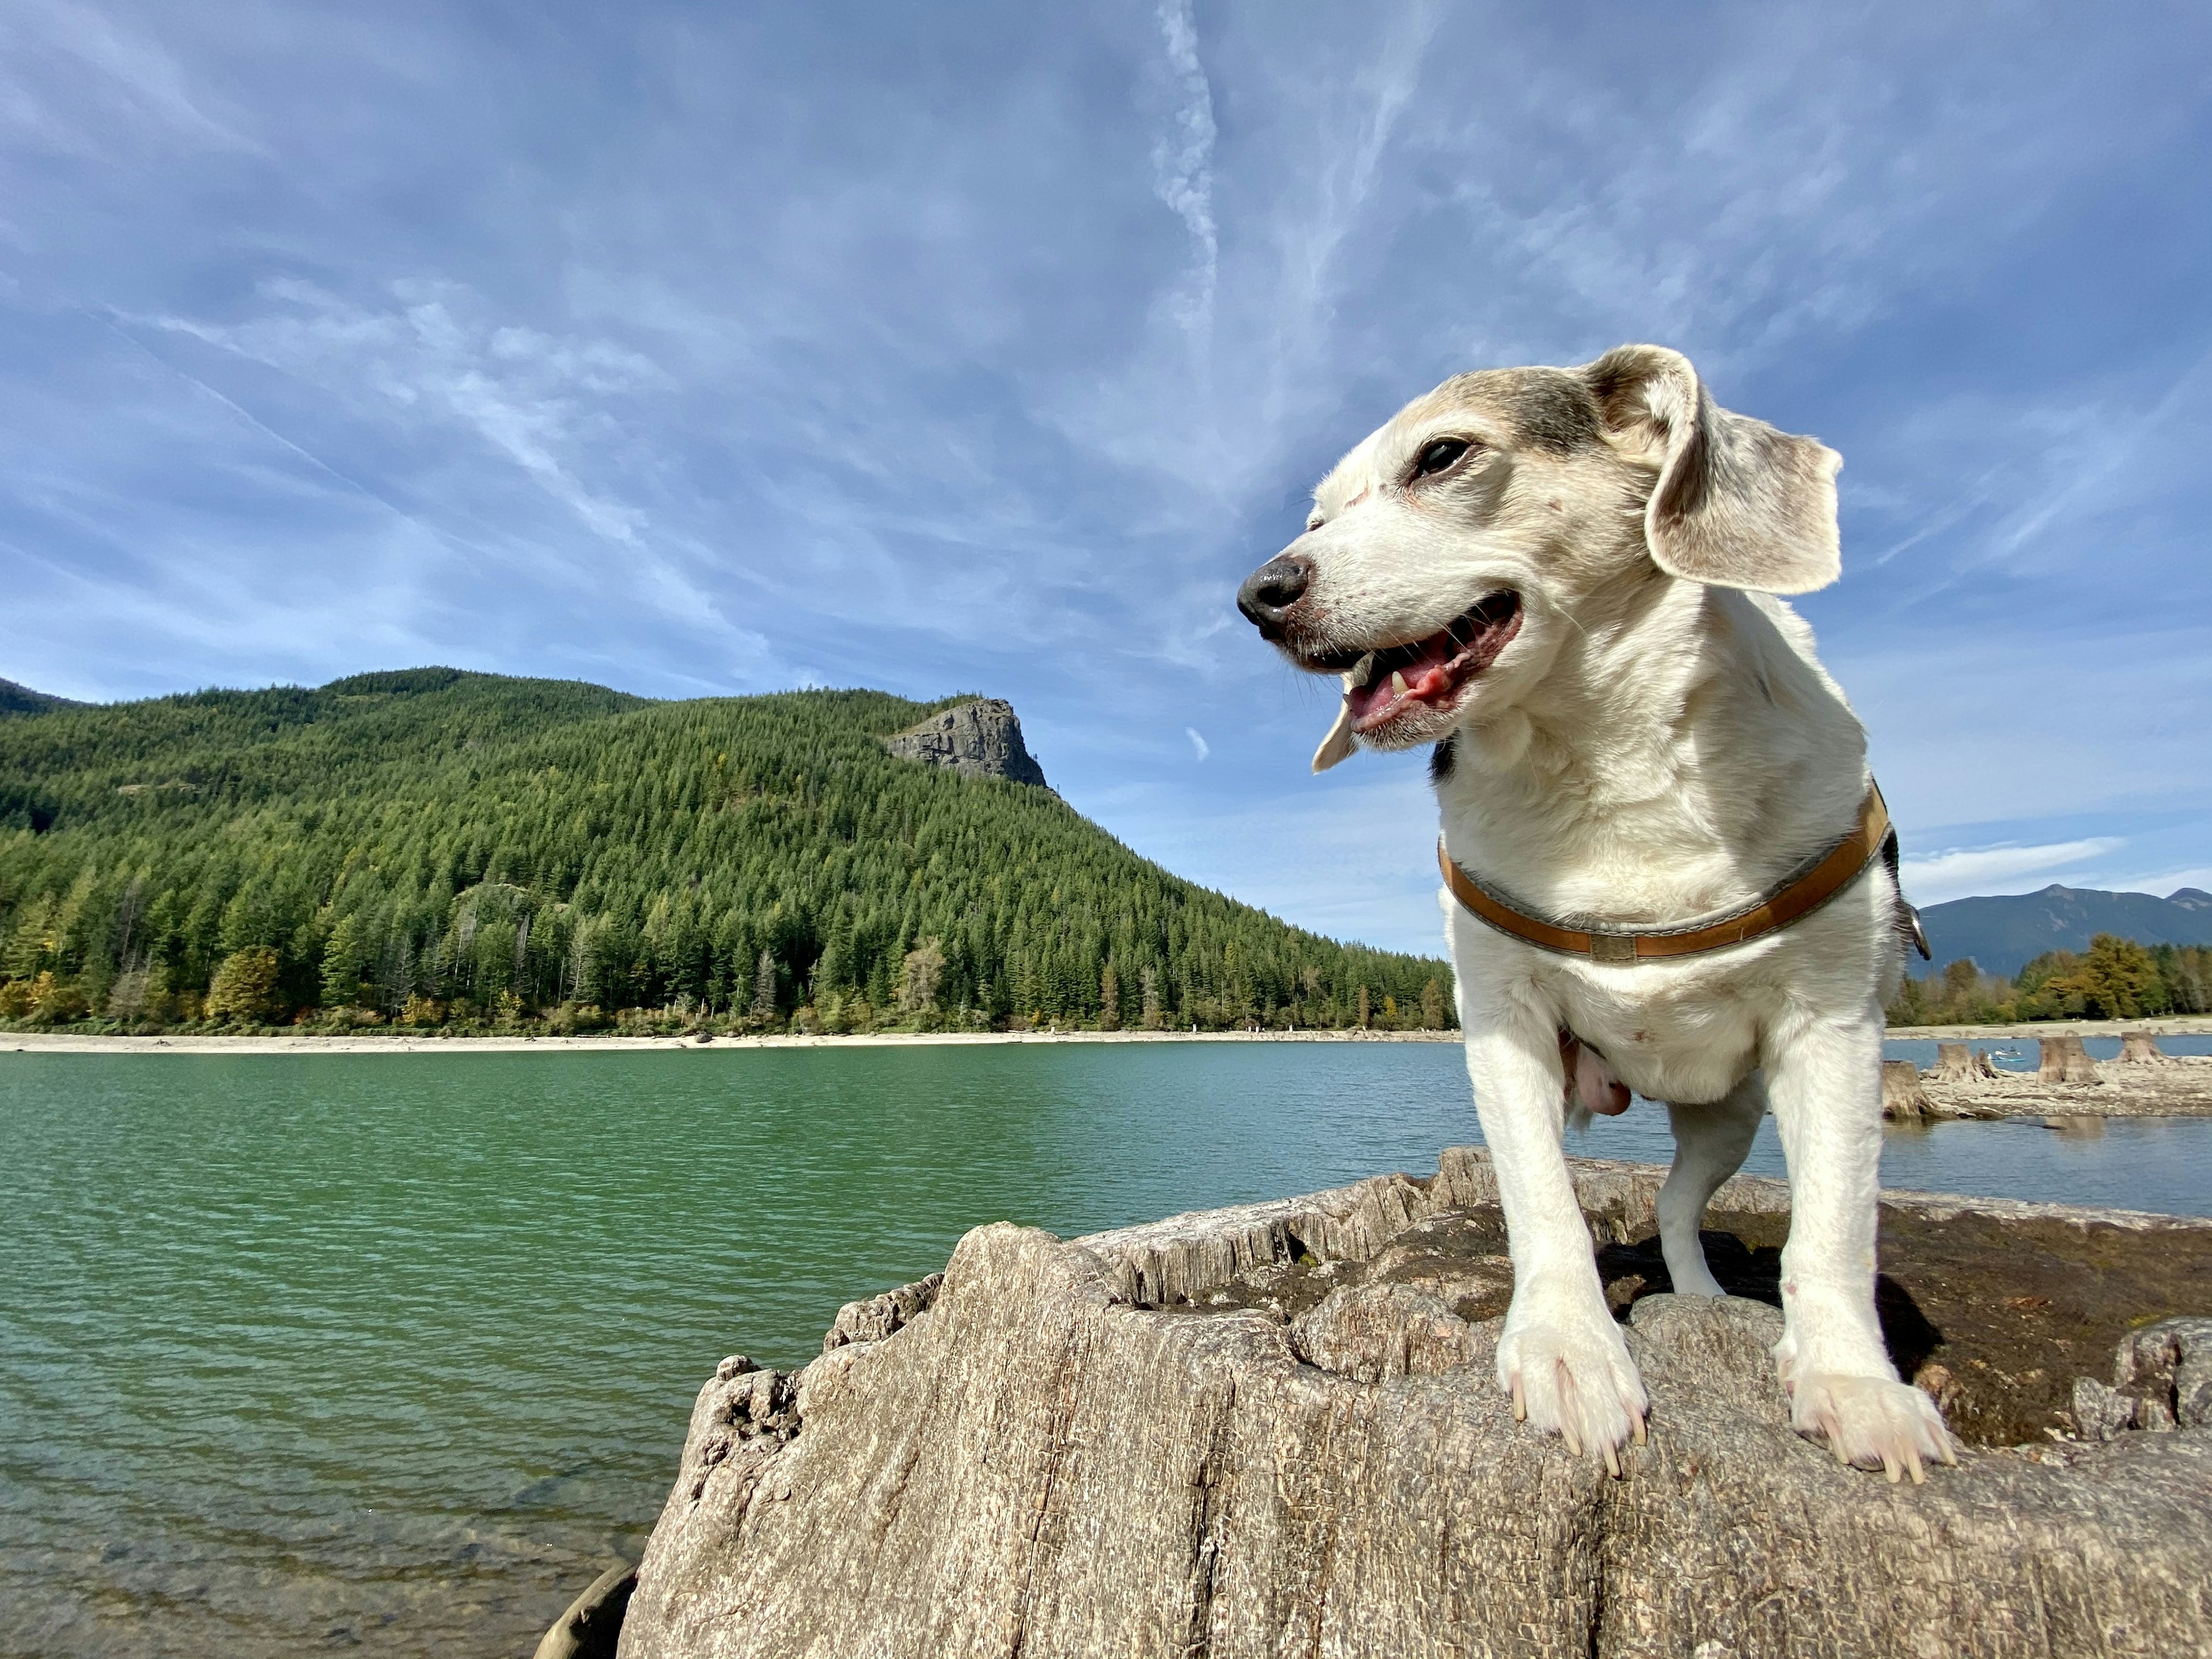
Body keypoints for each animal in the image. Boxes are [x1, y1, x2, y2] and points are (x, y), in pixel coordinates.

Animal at [1247, 345, 1955, 1486]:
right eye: (1317, 516)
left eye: (1443, 456)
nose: (1258, 595)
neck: (1602, 766)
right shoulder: (1502, 1024)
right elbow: (1545, 1206)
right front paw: (1570, 1351)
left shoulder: (1837, 1027)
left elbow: (1835, 1228)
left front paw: (1856, 1386)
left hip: (1731, 1115)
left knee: (1674, 1210)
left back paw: (1706, 1302)